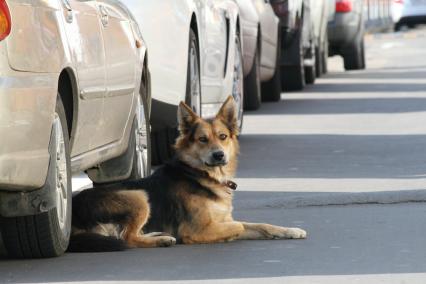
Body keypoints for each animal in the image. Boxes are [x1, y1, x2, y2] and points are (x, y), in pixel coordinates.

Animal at [68, 96, 306, 252]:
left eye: (223, 136)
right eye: (202, 139)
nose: (219, 155)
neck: (201, 175)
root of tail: (74, 211)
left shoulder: (224, 219)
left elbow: (260, 225)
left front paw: (291, 230)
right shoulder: (199, 229)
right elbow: (238, 226)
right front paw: (228, 237)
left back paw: (158, 235)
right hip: (139, 196)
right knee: (127, 238)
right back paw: (160, 240)